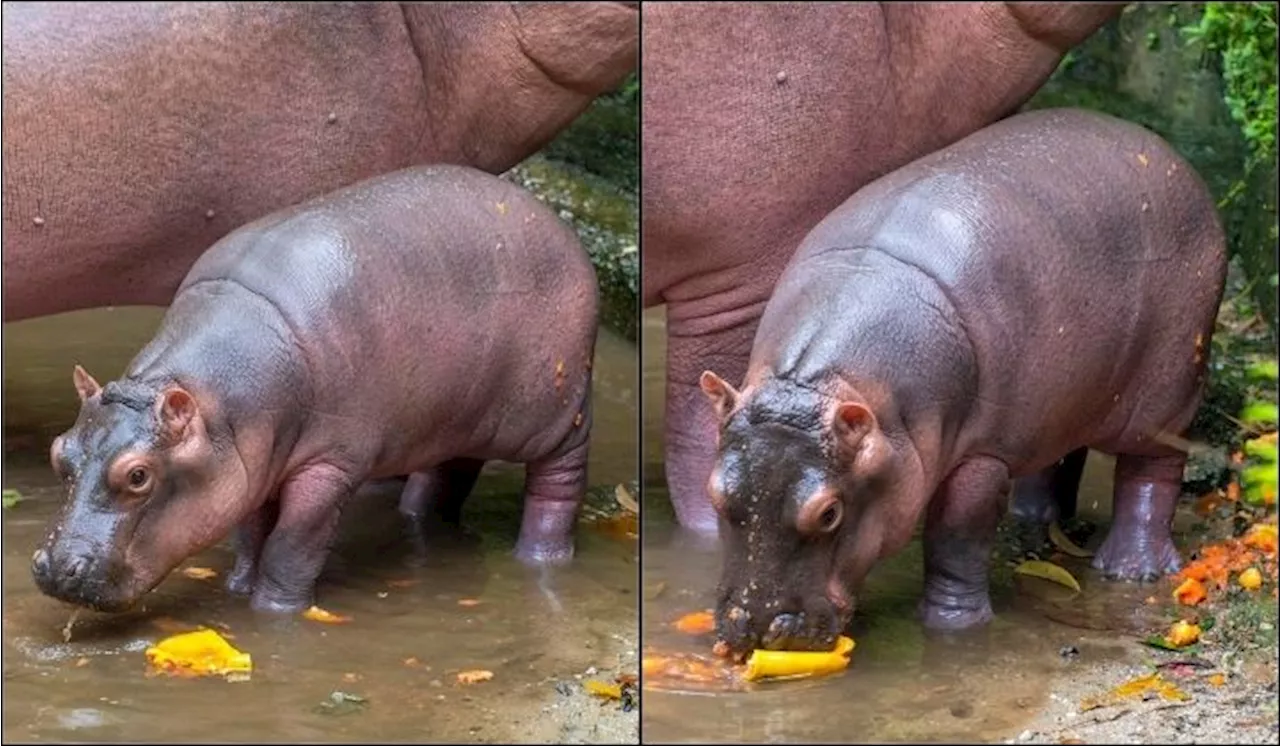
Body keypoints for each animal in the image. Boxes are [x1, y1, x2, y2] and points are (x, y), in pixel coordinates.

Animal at [32, 166, 596, 616]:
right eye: (59, 453)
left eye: (138, 475)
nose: (57, 569)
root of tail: (558, 227)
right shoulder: (252, 463)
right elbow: (252, 531)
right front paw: (238, 587)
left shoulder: (330, 464)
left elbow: (292, 543)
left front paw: (272, 611)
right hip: (454, 417)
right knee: (449, 472)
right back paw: (420, 523)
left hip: (555, 413)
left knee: (559, 481)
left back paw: (541, 557)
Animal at [701, 108, 1228, 655]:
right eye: (714, 491)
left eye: (828, 513)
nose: (757, 628)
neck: (820, 383)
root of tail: (1161, 149)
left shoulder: (983, 454)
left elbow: (957, 534)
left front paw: (952, 626)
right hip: (1061, 399)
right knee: (1061, 452)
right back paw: (1033, 520)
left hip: (1166, 390)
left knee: (1153, 468)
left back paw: (1131, 569)